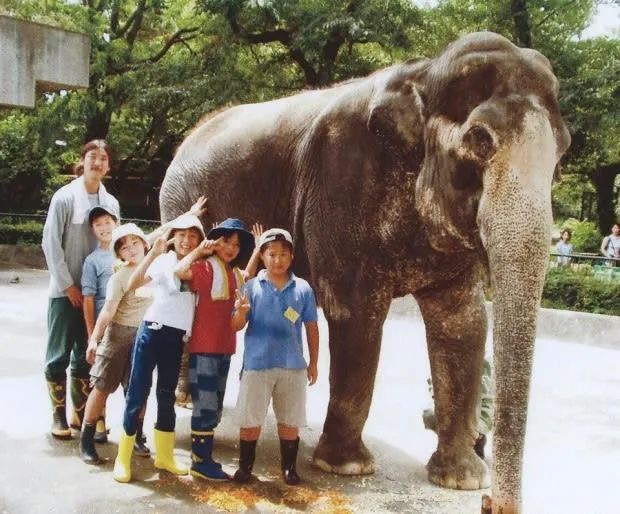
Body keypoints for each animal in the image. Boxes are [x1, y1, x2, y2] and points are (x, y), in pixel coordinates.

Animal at [160, 32, 572, 512]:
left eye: (563, 149)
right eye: (479, 140)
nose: (491, 503)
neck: (424, 73)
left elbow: (464, 323)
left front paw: (462, 479)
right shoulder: (342, 184)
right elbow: (356, 314)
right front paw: (346, 467)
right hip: (178, 202)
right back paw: (186, 400)